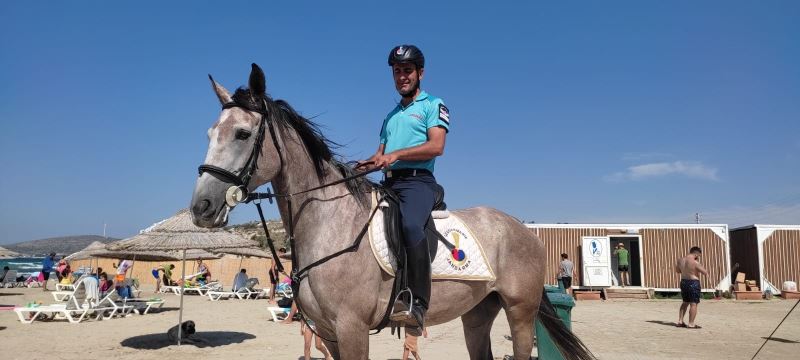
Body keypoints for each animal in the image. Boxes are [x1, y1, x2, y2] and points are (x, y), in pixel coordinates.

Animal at [191, 63, 592, 358]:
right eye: (210, 134)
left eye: (243, 134)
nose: (201, 207)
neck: (330, 224)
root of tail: (522, 228)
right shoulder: (328, 332)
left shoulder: (352, 329)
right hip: (478, 312)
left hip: (520, 312)